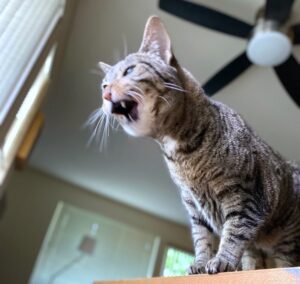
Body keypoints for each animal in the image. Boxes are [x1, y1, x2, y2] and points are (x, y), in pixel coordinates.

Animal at [98, 16, 300, 274]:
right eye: (104, 85)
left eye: (130, 70)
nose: (105, 95)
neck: (183, 156)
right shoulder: (194, 207)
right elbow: (202, 239)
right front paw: (202, 263)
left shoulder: (245, 196)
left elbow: (234, 232)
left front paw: (222, 260)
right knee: (254, 256)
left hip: (287, 240)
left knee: (283, 260)